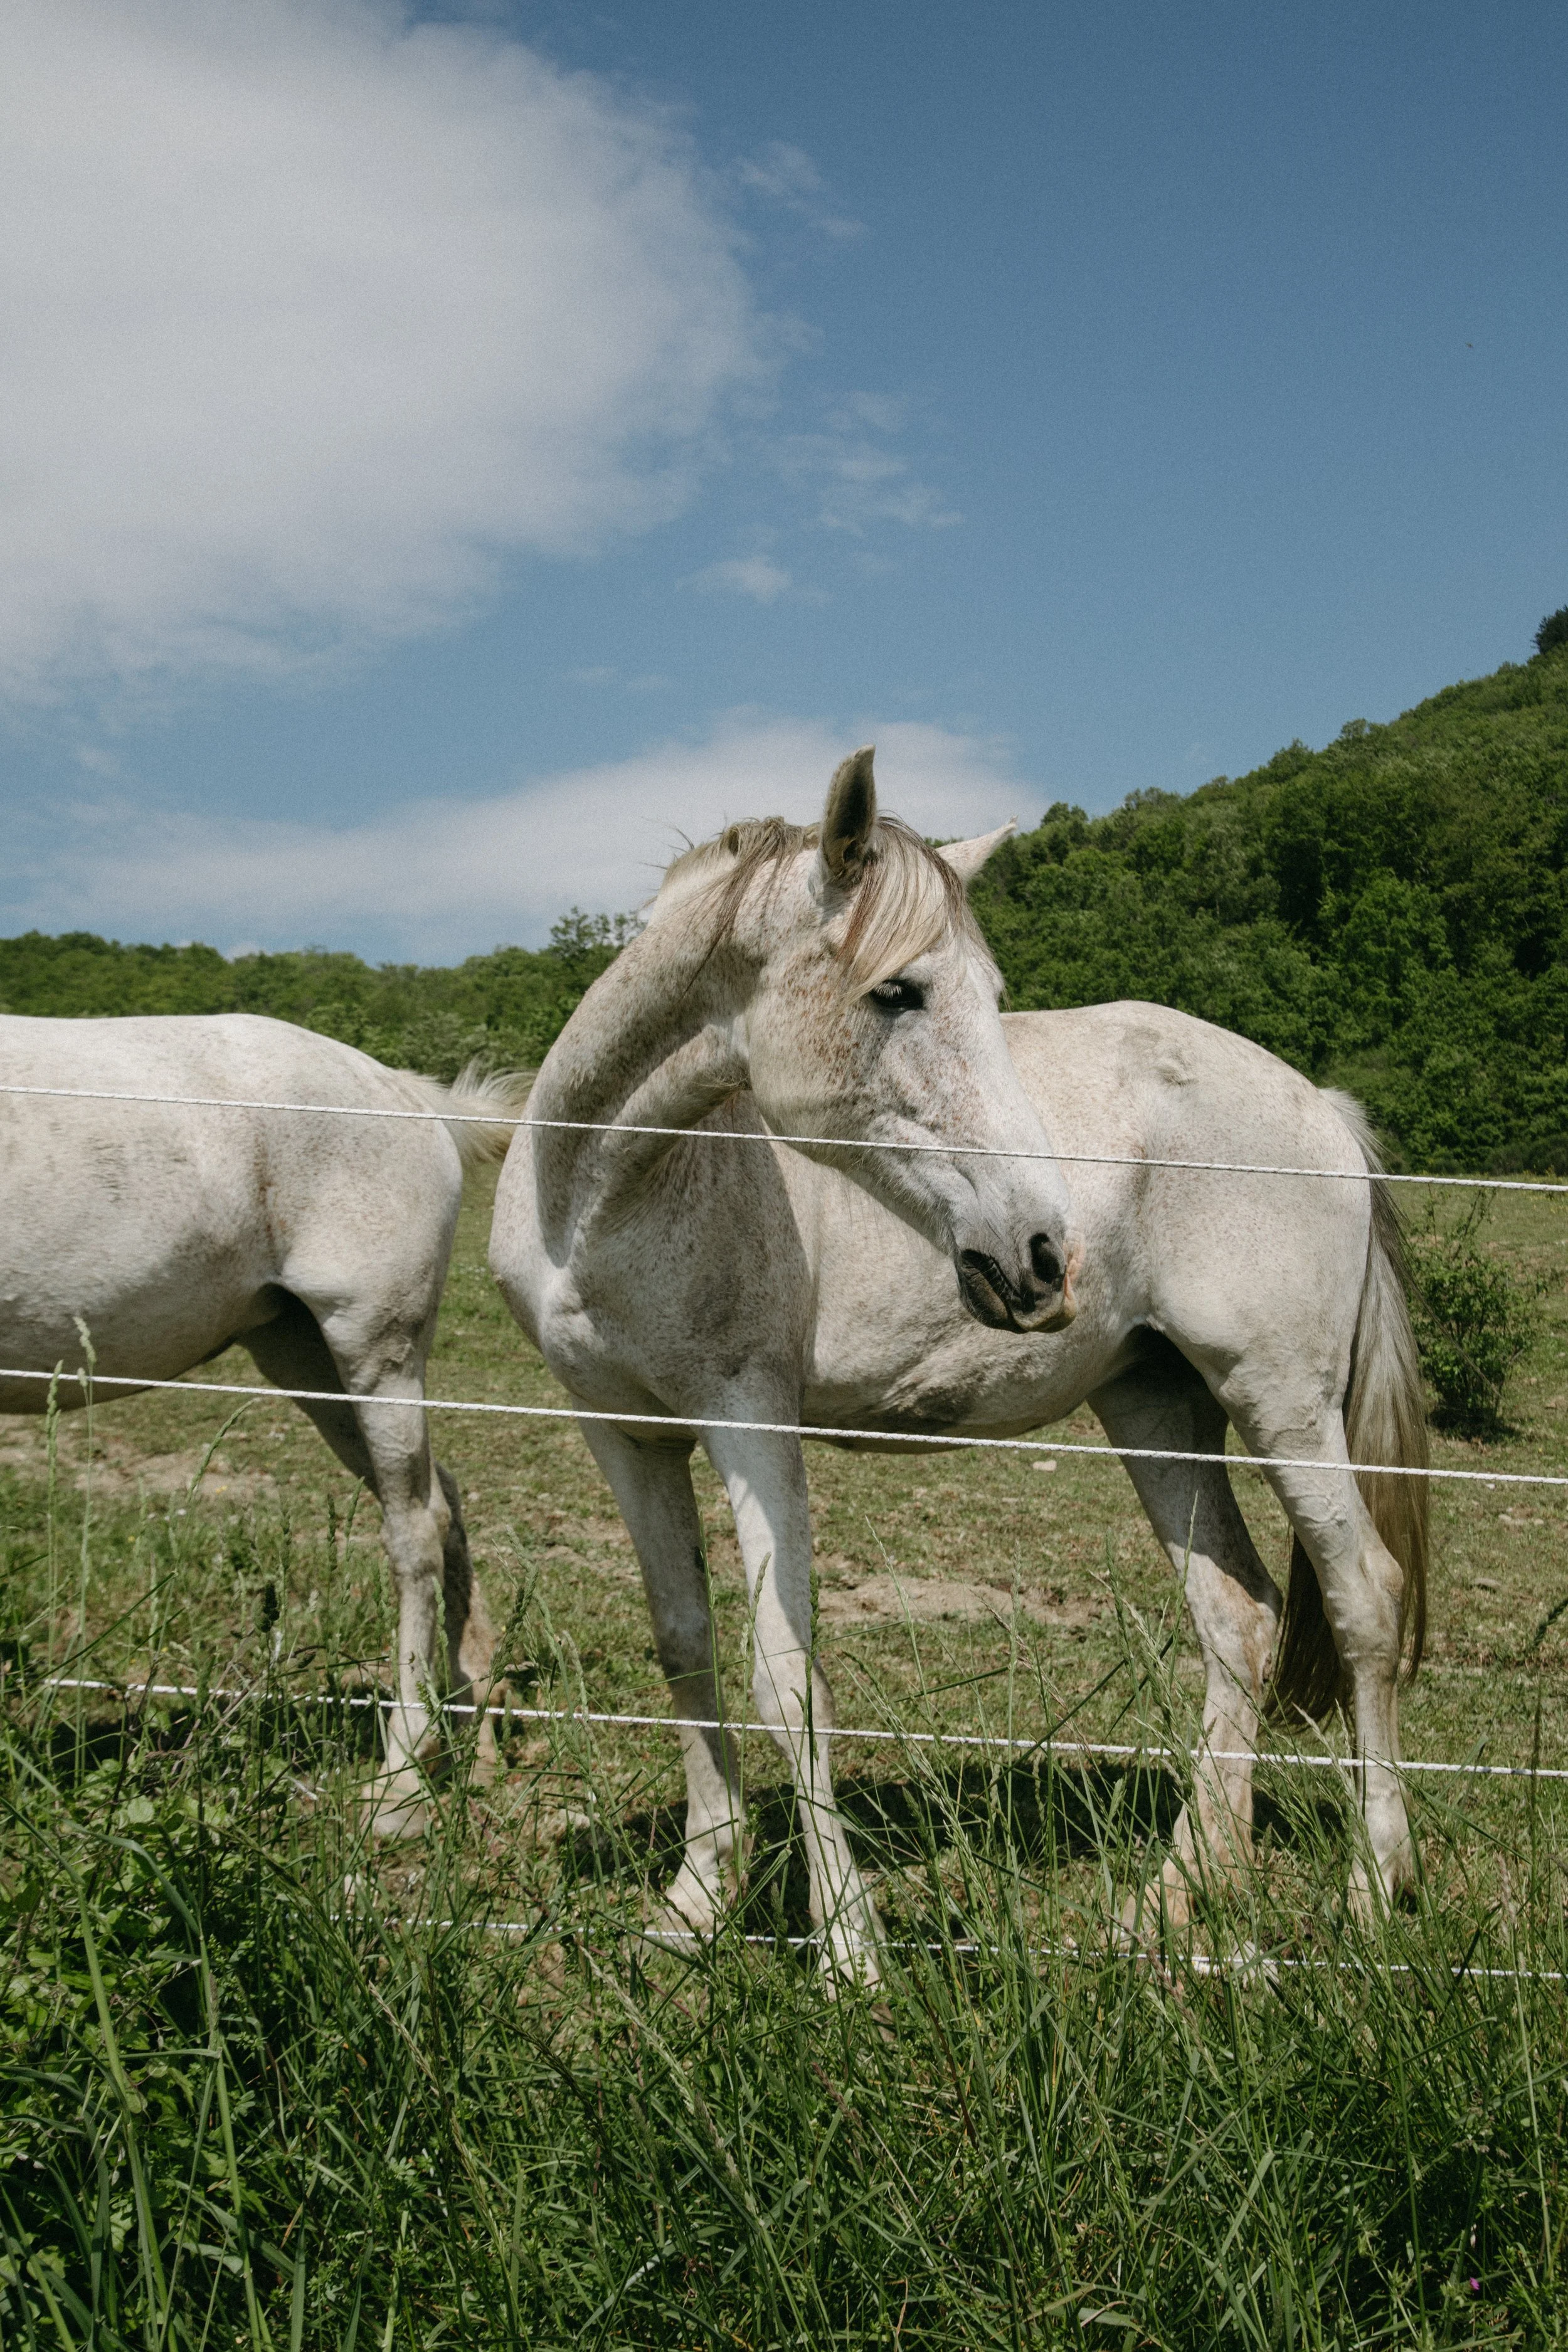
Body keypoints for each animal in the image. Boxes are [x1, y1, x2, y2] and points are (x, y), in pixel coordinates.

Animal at [0, 1012, 511, 1827]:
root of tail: (404, 1091)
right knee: (447, 1501)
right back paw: (474, 1725)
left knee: (417, 1529)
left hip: (375, 1350)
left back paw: (404, 1773)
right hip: (306, 1360)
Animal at [491, 747, 1429, 1979]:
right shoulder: (625, 1435)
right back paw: (1177, 1897)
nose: (1041, 1252)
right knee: (1240, 1617)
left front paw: (847, 1950)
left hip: (1280, 1398)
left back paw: (1374, 1889)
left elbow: (785, 1673)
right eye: (899, 992)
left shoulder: (748, 1418)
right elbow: (684, 1644)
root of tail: (1320, 1105)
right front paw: (695, 1902)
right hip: (1158, 1403)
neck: (605, 1194)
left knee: (1365, 1596)